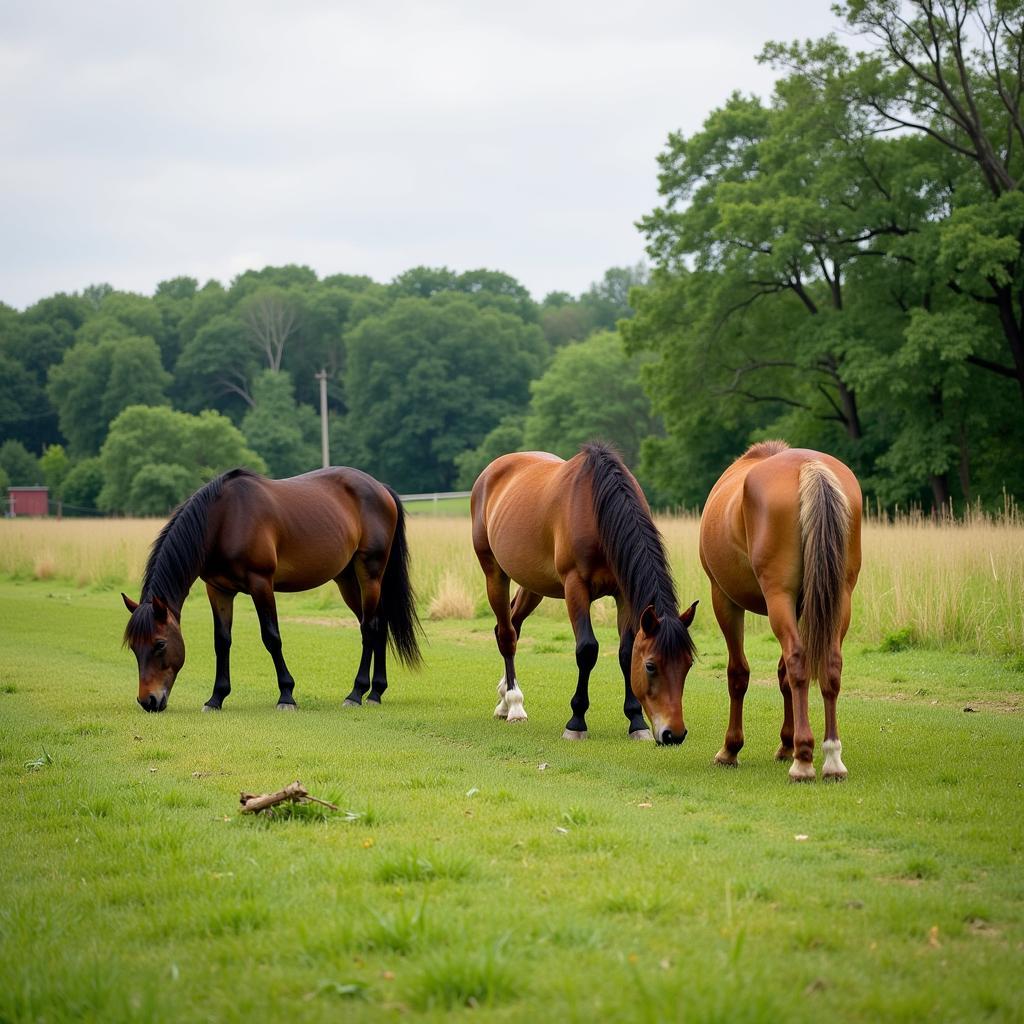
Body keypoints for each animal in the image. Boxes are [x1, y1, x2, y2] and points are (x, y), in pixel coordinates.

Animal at [122, 466, 419, 712]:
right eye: (133, 647)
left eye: (160, 644)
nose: (148, 701)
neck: (224, 519)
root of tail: (381, 488)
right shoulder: (218, 590)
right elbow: (222, 641)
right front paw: (216, 698)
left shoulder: (261, 583)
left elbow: (271, 637)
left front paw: (286, 695)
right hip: (346, 579)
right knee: (378, 625)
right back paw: (376, 692)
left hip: (370, 573)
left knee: (370, 627)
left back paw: (357, 693)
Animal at [468, 444, 696, 749]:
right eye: (650, 666)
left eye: (688, 664)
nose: (673, 734)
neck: (597, 512)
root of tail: (489, 472)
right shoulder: (575, 587)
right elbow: (587, 649)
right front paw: (576, 721)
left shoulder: (623, 593)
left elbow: (625, 651)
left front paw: (636, 721)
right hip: (495, 573)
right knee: (506, 635)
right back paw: (515, 705)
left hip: (533, 584)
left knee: (512, 624)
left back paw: (505, 700)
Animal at [700, 440, 860, 782]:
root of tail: (809, 466)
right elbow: (784, 676)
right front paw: (786, 744)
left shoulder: (724, 599)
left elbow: (738, 673)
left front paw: (730, 749)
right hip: (838, 599)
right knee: (829, 664)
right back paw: (831, 757)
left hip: (776, 597)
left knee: (797, 661)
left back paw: (803, 760)